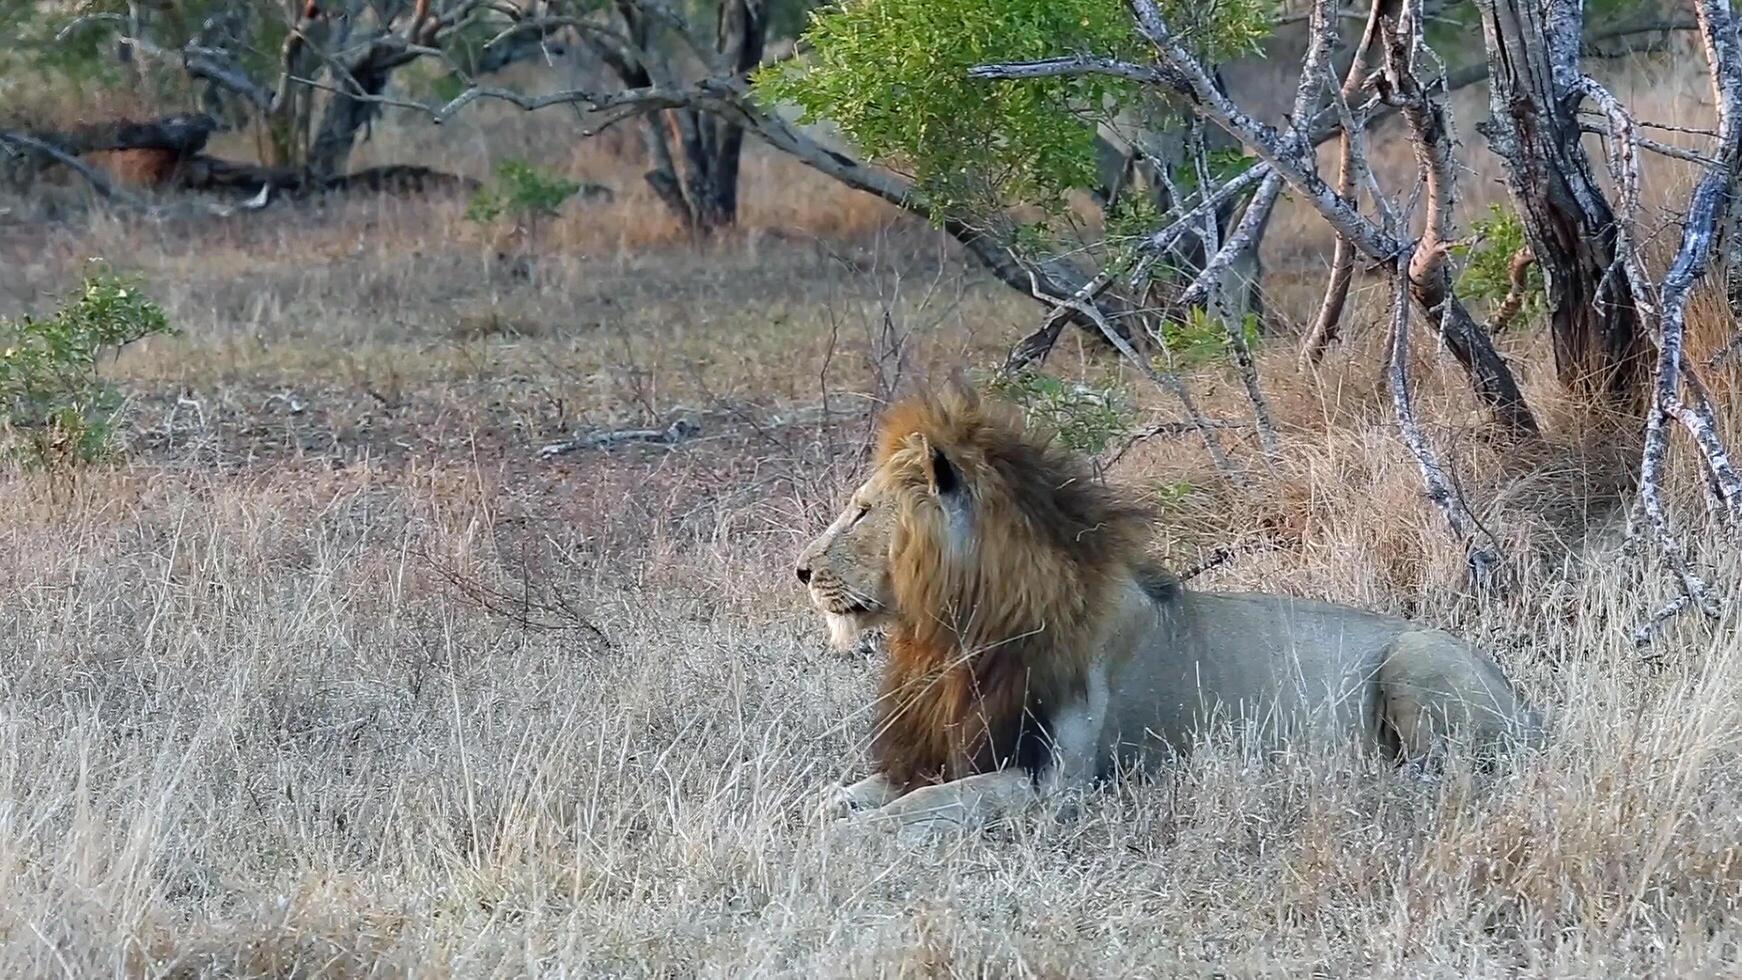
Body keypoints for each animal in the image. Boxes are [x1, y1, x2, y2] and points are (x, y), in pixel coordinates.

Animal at [797, 382, 1546, 835]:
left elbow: (923, 806)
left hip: (1417, 657)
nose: (800, 570)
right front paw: (826, 808)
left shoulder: (1054, 783)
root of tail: (1528, 706)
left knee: (1450, 771)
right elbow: (870, 787)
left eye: (861, 510)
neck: (953, 633)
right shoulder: (949, 746)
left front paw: (852, 835)